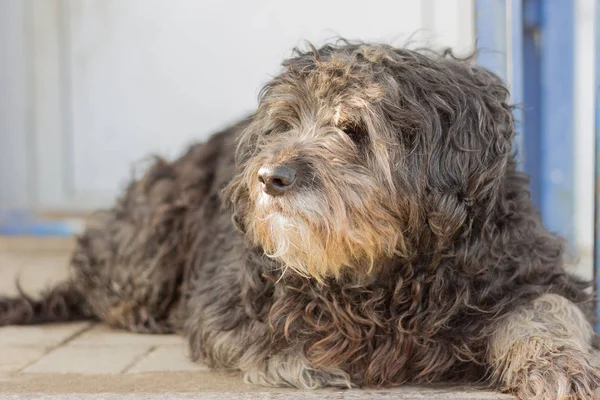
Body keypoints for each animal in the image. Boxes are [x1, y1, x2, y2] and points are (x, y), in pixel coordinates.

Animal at [1, 41, 600, 400]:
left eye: (355, 130)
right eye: (285, 124)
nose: (270, 177)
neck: (389, 271)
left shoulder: (520, 269)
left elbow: (548, 308)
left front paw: (560, 365)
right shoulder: (228, 300)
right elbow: (268, 336)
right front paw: (310, 361)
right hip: (150, 242)